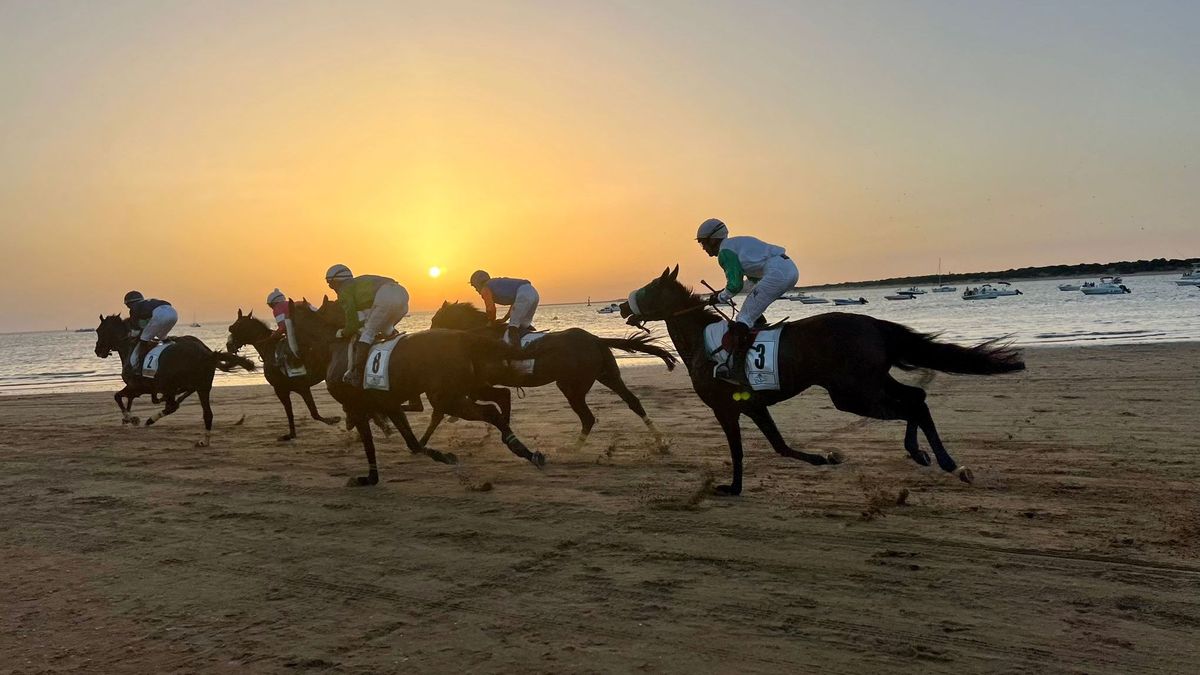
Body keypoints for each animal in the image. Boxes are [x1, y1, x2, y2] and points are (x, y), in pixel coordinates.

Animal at [94, 312, 255, 444]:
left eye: (99, 331)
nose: (97, 350)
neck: (129, 346)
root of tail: (207, 353)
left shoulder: (137, 386)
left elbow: (118, 396)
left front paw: (130, 418)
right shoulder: (140, 388)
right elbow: (129, 399)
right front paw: (129, 418)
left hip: (172, 385)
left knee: (173, 405)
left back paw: (152, 418)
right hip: (202, 386)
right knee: (205, 413)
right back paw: (204, 441)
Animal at [225, 306, 340, 441]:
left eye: (235, 327)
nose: (228, 345)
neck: (270, 350)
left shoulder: (289, 389)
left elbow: (311, 413)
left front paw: (333, 420)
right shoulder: (293, 389)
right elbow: (296, 413)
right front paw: (291, 434)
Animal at [292, 295, 547, 482]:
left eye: (289, 323)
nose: (292, 354)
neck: (335, 347)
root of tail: (462, 337)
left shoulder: (358, 406)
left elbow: (370, 444)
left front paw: (370, 478)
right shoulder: (389, 404)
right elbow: (411, 441)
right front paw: (442, 455)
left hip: (448, 397)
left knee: (489, 411)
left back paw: (520, 448)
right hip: (459, 391)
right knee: (497, 402)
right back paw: (525, 450)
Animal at [429, 302, 676, 449]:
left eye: (434, 320)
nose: (428, 337)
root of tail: (596, 339)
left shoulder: (483, 380)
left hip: (571, 386)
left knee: (588, 417)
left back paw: (573, 450)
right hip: (608, 375)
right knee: (633, 402)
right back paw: (660, 440)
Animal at [619, 264, 1022, 494]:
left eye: (649, 288)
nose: (623, 306)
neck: (703, 342)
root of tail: (873, 325)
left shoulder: (727, 408)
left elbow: (745, 449)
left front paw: (732, 487)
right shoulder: (753, 404)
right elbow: (779, 445)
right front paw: (825, 457)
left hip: (853, 391)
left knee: (911, 403)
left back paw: (945, 461)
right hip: (868, 383)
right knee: (916, 398)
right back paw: (930, 456)